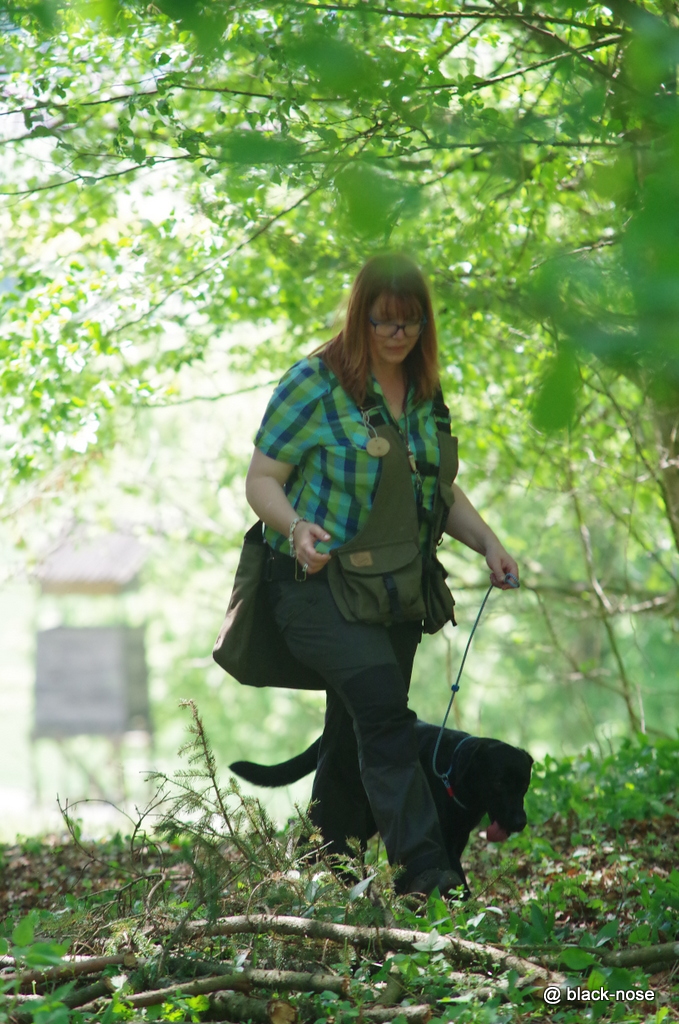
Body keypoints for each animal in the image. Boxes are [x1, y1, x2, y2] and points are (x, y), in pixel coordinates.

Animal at [231, 720, 532, 897]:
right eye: (499, 783)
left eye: (525, 785)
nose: (520, 822)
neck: (452, 773)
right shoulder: (442, 838)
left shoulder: (457, 838)